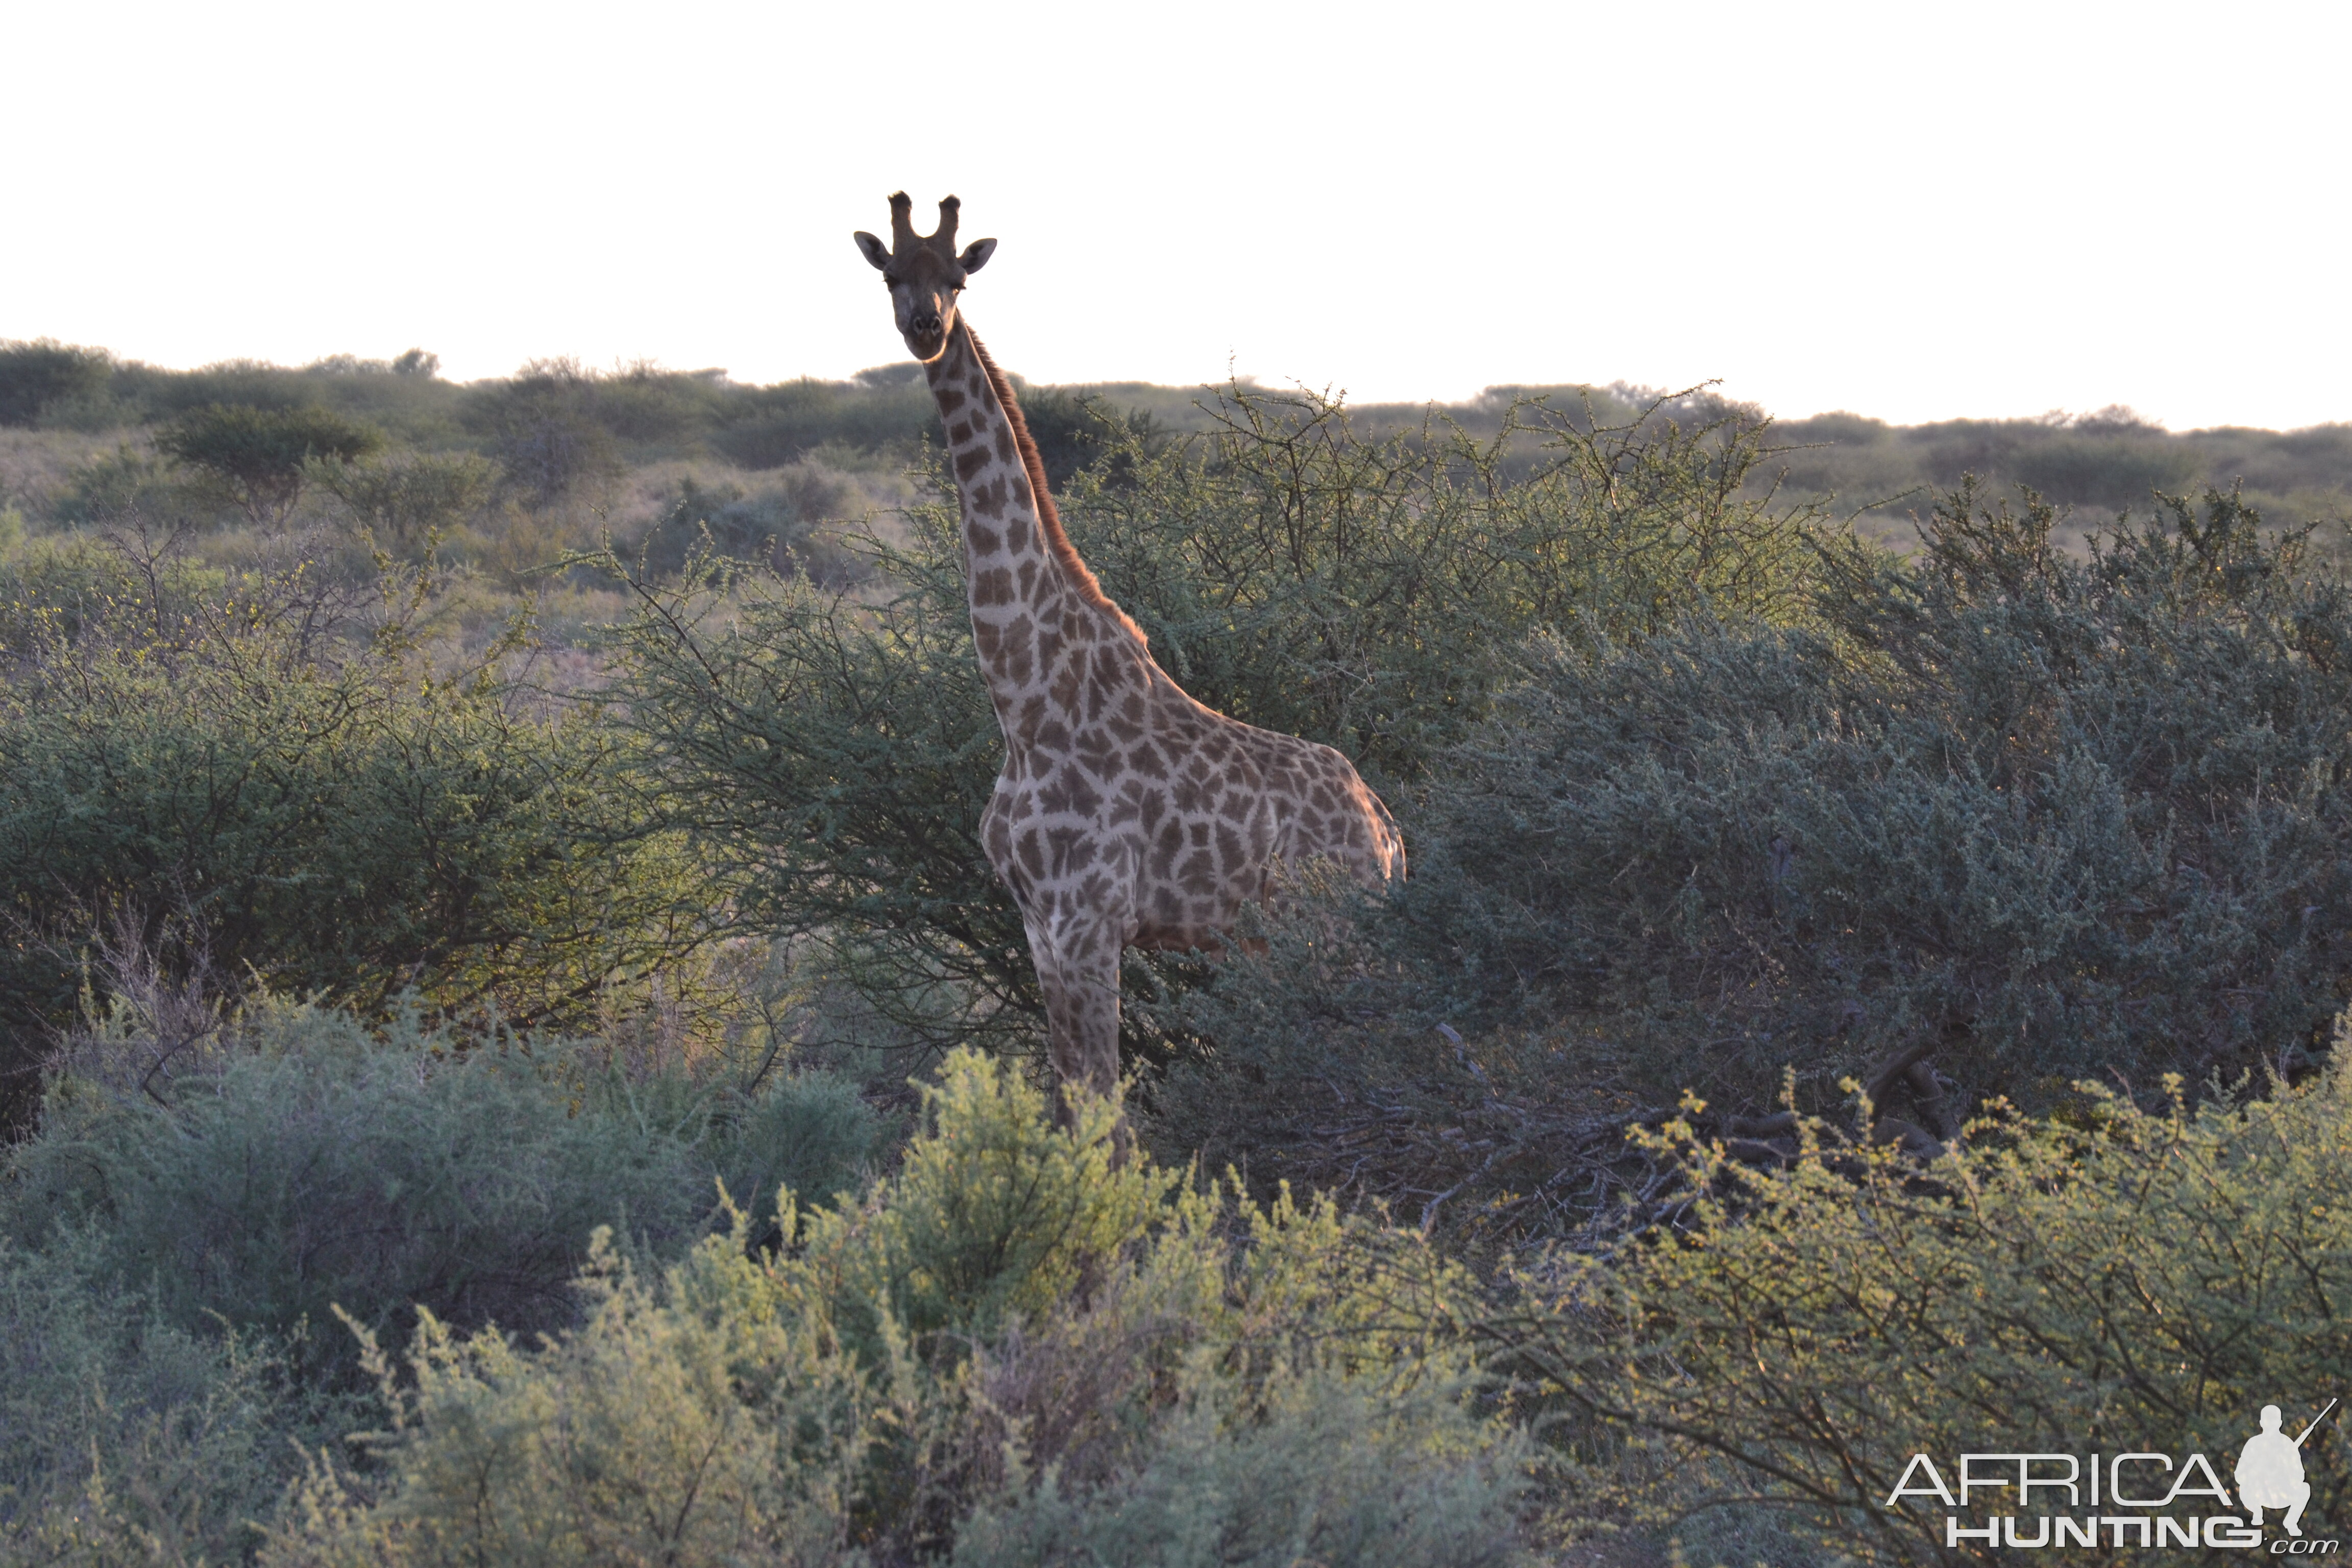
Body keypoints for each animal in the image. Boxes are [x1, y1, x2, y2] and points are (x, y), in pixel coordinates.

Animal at [851, 192, 1392, 1128]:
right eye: (891, 275)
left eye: (958, 278)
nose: (925, 328)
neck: (1023, 695)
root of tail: (1387, 829)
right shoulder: (1039, 926)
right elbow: (1075, 1100)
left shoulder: (1089, 920)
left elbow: (1105, 1111)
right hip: (1270, 936)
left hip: (1335, 925)